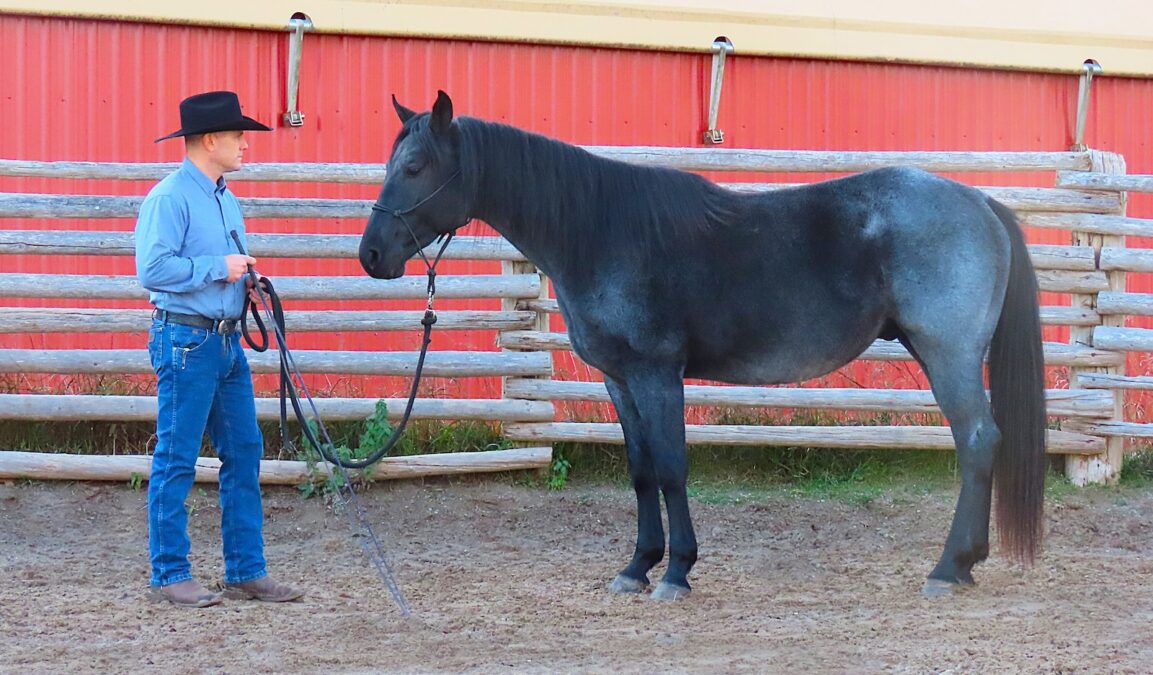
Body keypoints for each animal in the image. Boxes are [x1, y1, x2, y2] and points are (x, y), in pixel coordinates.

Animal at [359, 91, 1047, 600]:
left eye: (414, 168)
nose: (371, 255)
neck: (602, 231)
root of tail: (979, 200)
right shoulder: (619, 379)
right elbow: (641, 471)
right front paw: (637, 568)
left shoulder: (659, 374)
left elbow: (671, 467)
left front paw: (676, 572)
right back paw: (965, 564)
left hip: (949, 355)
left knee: (977, 441)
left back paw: (948, 568)